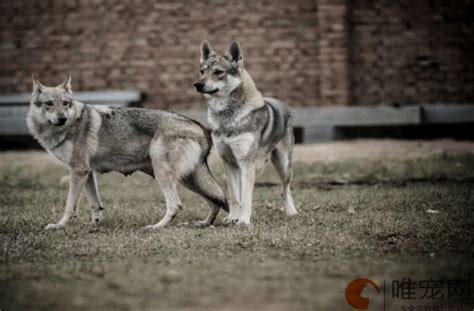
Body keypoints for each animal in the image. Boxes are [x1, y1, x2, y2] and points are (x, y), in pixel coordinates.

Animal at [27, 75, 228, 232]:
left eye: (65, 103)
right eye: (49, 104)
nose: (62, 118)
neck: (71, 124)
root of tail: (200, 126)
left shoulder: (78, 171)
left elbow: (70, 205)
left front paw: (59, 226)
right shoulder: (87, 172)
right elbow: (95, 204)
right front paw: (94, 225)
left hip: (165, 174)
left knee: (176, 205)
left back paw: (156, 227)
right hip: (190, 179)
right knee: (216, 200)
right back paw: (205, 223)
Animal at [193, 40, 296, 227]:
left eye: (218, 72)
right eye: (202, 71)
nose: (197, 84)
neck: (227, 116)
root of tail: (280, 102)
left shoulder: (246, 162)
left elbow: (247, 197)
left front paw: (243, 221)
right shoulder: (229, 163)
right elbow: (235, 196)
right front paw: (233, 217)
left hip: (283, 166)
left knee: (285, 189)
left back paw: (291, 212)